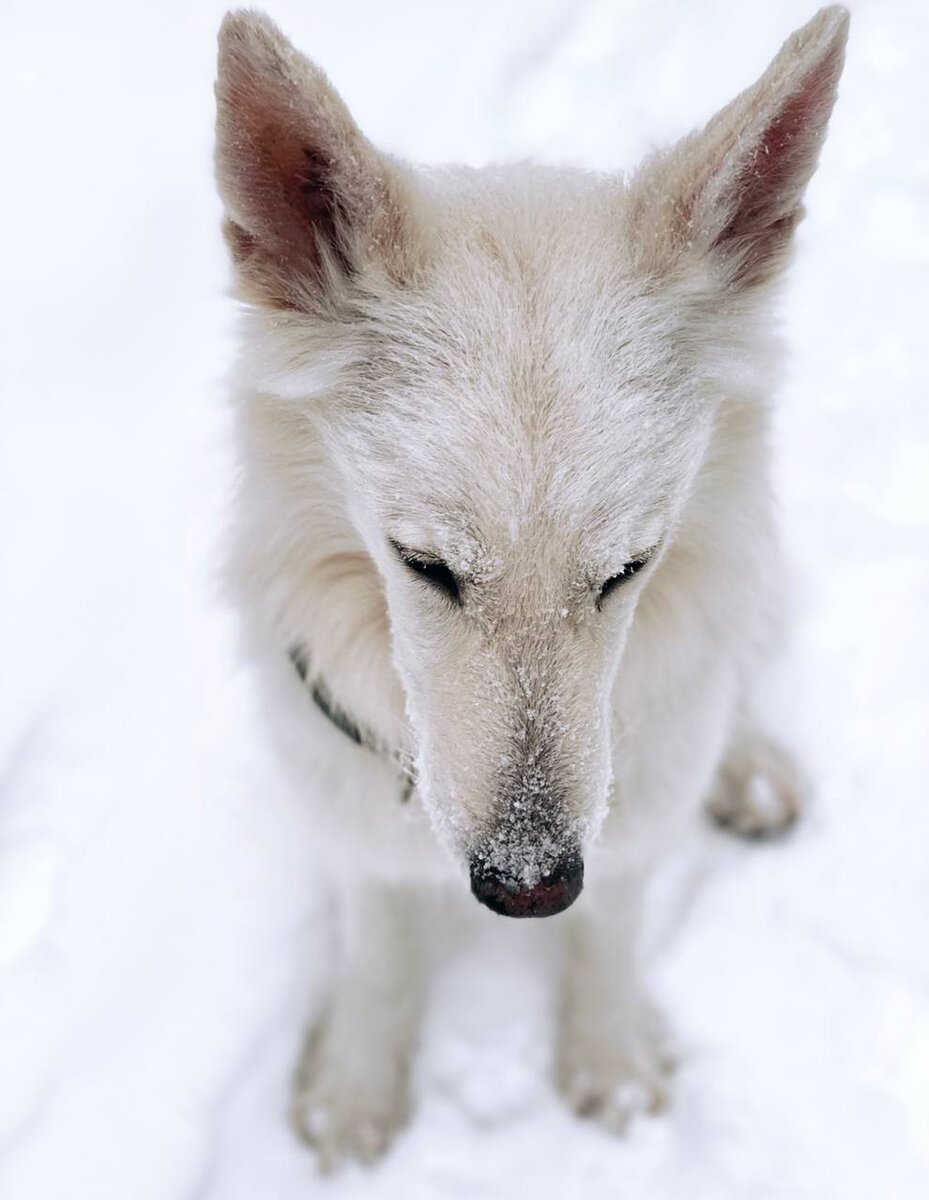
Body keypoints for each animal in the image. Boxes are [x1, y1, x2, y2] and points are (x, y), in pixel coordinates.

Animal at [212, 7, 849, 1171]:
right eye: (423, 565)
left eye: (626, 569)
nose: (527, 888)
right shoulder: (344, 800)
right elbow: (378, 944)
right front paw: (354, 1098)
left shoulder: (628, 809)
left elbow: (613, 926)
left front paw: (609, 1064)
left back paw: (747, 767)